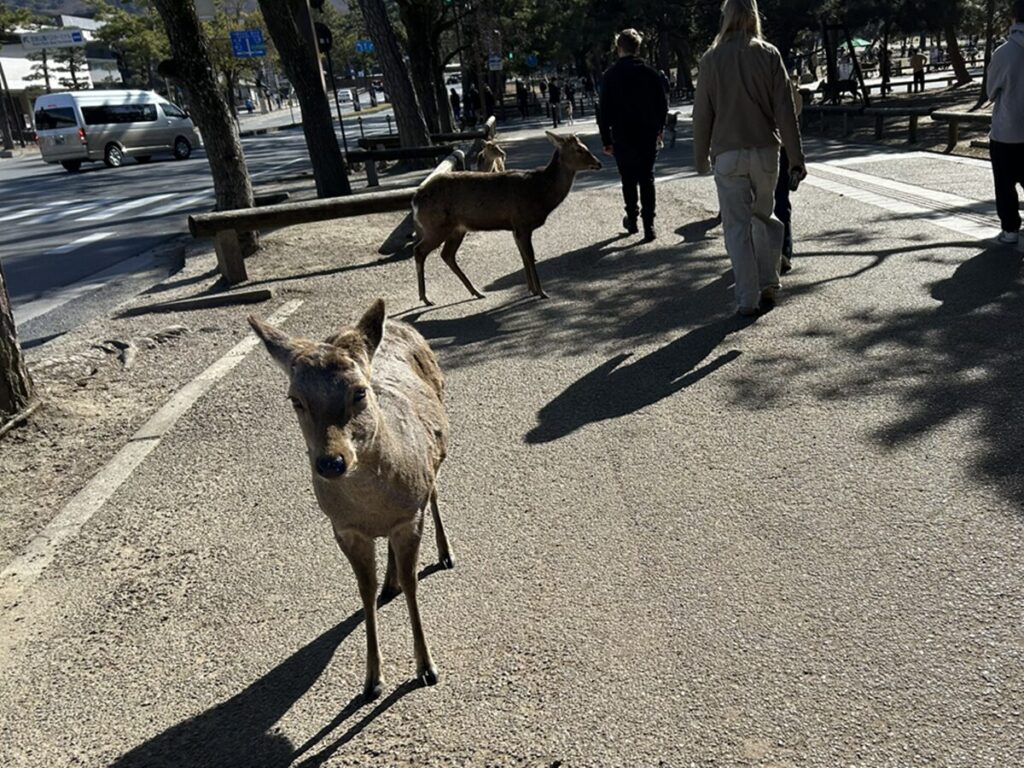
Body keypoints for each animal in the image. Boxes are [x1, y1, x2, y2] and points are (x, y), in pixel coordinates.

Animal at [248, 299, 453, 700]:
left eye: (359, 391)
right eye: (295, 399)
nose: (331, 462)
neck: (371, 507)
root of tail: (401, 324)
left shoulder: (409, 516)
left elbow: (413, 583)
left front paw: (426, 667)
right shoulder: (343, 529)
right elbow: (364, 591)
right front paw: (372, 679)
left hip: (435, 451)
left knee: (436, 490)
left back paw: (445, 553)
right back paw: (390, 581)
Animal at [411, 131, 602, 305]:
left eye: (584, 146)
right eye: (579, 149)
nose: (598, 163)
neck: (541, 192)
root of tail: (416, 199)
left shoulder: (515, 228)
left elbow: (523, 257)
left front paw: (532, 289)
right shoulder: (522, 222)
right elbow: (530, 256)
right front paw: (541, 292)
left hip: (456, 229)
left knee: (447, 254)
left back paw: (476, 292)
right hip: (436, 226)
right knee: (419, 250)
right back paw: (425, 298)